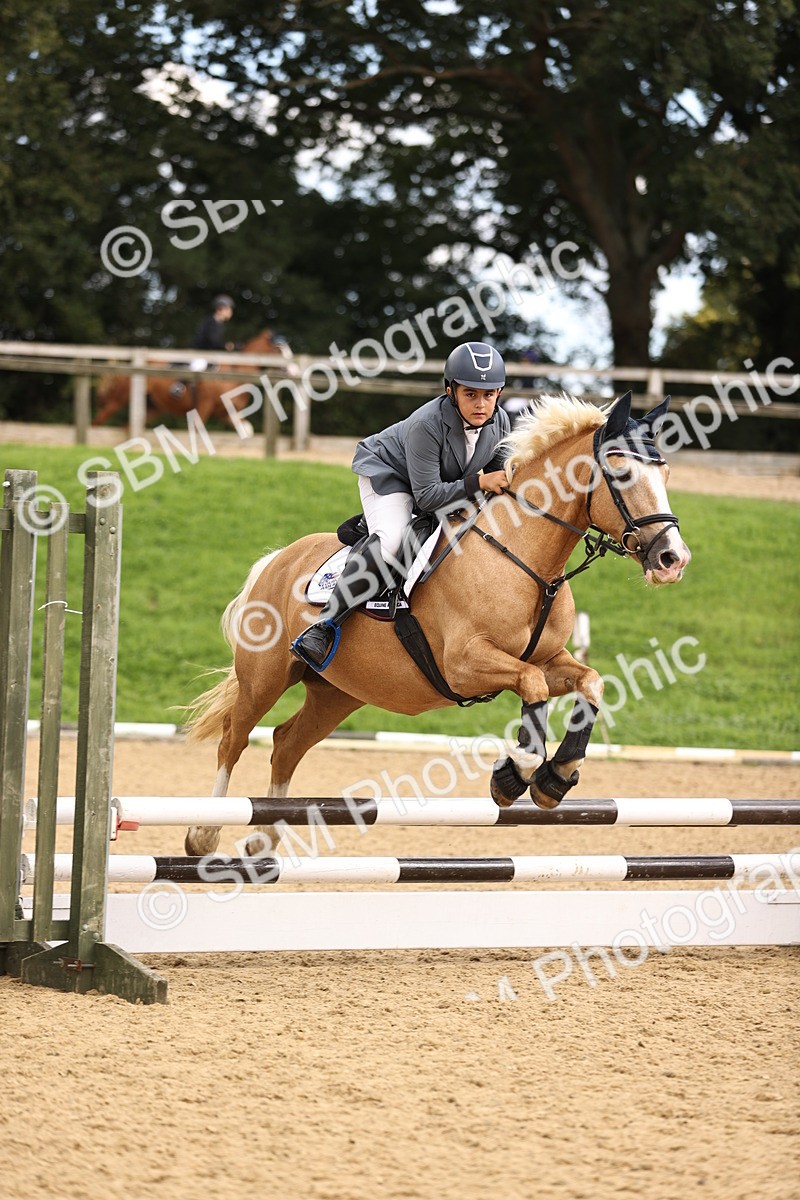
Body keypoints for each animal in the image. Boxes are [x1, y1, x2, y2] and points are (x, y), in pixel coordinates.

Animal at [93, 329, 293, 431]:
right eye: (279, 349)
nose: (294, 369)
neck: (234, 374)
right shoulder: (203, 406)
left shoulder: (226, 413)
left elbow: (247, 429)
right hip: (121, 399)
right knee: (99, 420)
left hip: (153, 407)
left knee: (127, 425)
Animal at [182, 392, 691, 856]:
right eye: (621, 472)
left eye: (666, 473)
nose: (673, 559)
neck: (524, 556)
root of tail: (277, 559)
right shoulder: (464, 664)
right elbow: (531, 684)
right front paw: (515, 775)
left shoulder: (551, 659)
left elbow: (590, 682)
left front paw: (555, 778)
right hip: (265, 678)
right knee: (234, 739)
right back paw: (204, 834)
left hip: (338, 693)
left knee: (287, 743)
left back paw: (264, 840)